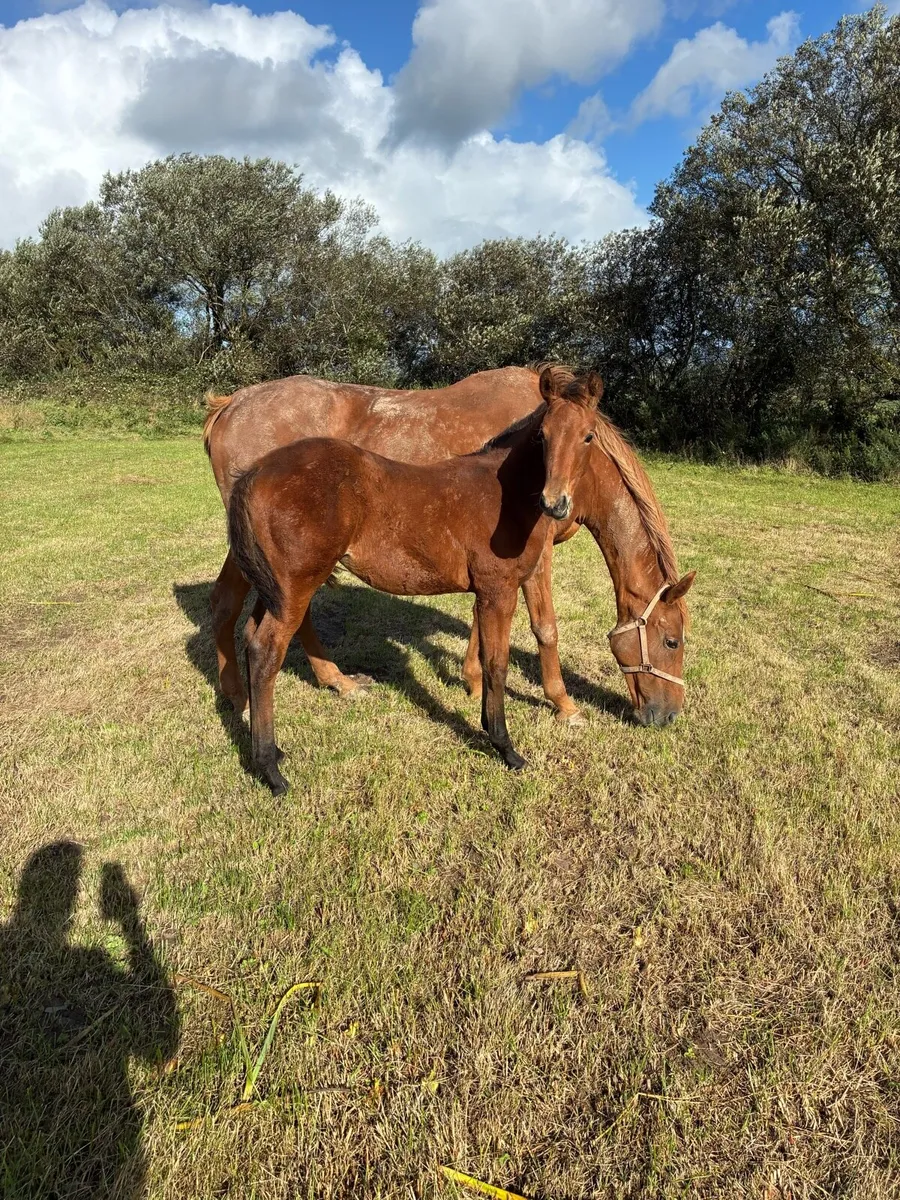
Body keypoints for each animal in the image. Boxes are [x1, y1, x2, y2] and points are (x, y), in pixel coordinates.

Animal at [205, 364, 695, 728]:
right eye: (672, 641)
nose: (668, 715)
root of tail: (231, 404)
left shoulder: (495, 561)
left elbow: (483, 619)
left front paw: (473, 680)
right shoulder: (537, 554)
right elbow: (544, 627)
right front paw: (563, 703)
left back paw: (329, 682)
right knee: (240, 606)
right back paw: (244, 698)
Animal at [227, 369, 604, 793]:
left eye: (588, 436)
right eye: (543, 435)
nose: (554, 503)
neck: (503, 495)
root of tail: (255, 472)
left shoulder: (486, 592)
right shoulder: (499, 589)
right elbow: (497, 663)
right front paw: (506, 748)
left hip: (276, 590)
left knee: (251, 638)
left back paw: (272, 753)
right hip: (295, 589)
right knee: (265, 652)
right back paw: (270, 771)